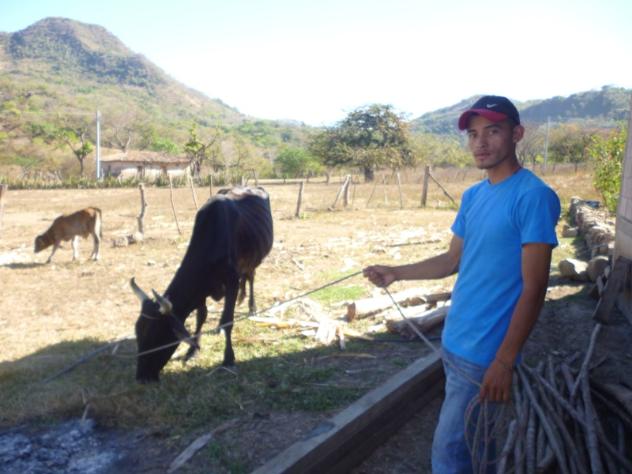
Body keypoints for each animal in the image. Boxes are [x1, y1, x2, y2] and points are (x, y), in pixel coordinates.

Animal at [130, 186, 274, 383]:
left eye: (157, 335)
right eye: (137, 332)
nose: (141, 377)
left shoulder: (231, 281)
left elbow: (228, 320)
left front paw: (228, 358)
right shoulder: (200, 290)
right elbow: (201, 317)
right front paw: (192, 351)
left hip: (254, 259)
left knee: (251, 277)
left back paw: (252, 306)